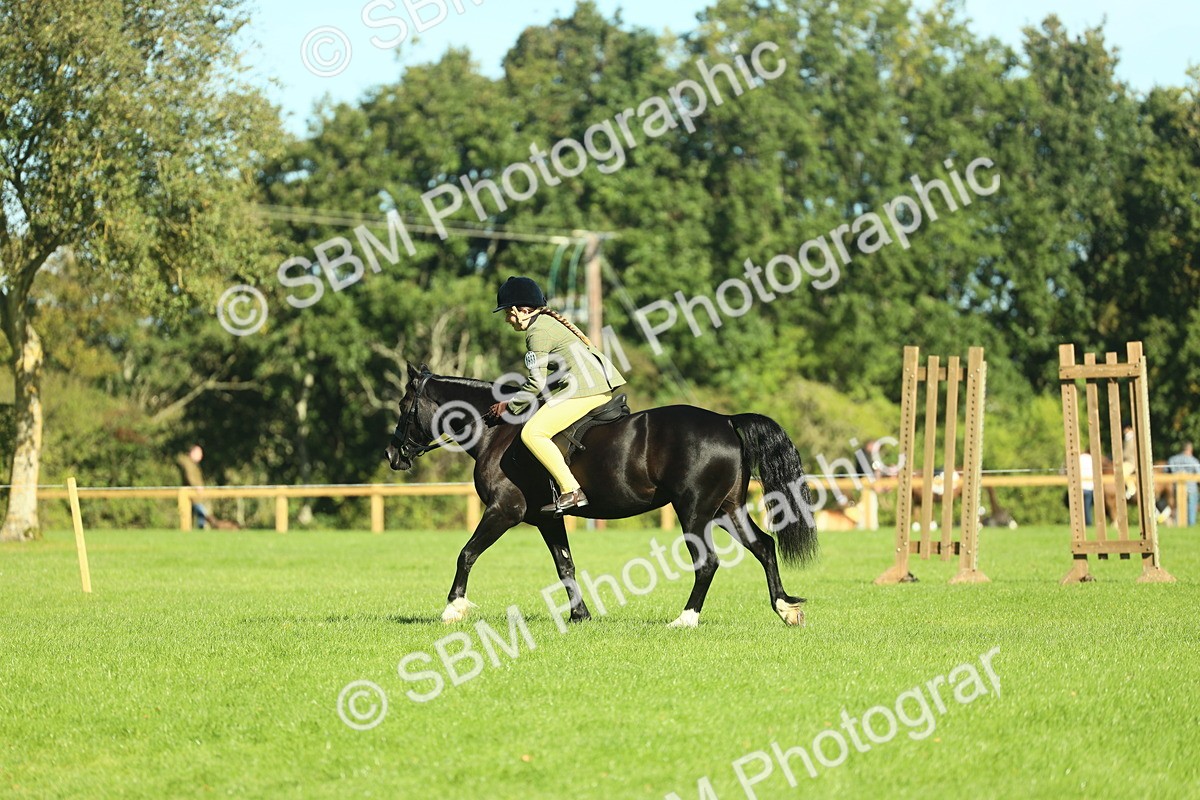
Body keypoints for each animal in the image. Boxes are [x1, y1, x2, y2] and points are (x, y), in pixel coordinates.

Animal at [384, 364, 819, 628]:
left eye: (404, 405)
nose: (392, 455)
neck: (498, 432)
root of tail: (727, 421)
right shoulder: (547, 518)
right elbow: (565, 567)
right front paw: (580, 615)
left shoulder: (504, 511)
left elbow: (467, 554)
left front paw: (453, 608)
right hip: (727, 509)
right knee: (763, 547)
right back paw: (785, 609)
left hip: (695, 511)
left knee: (707, 562)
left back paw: (686, 618)